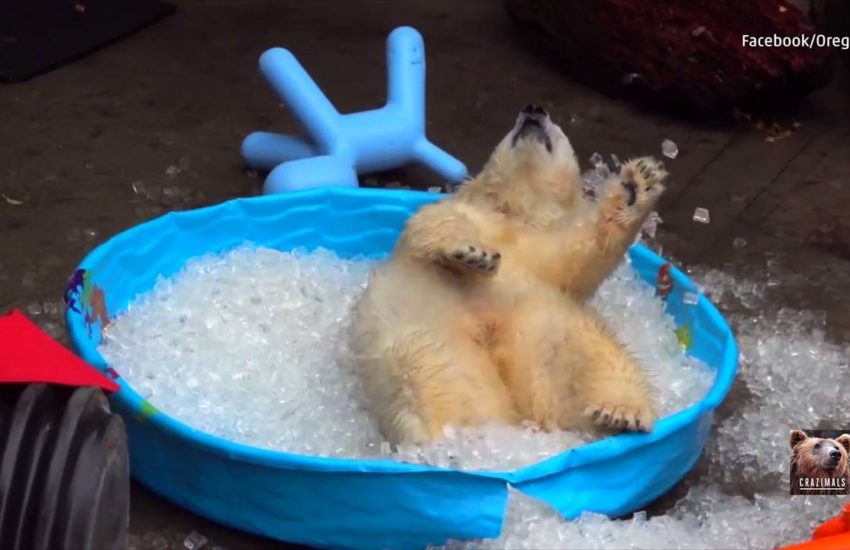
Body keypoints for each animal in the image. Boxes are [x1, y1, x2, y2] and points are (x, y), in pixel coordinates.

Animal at [348, 104, 667, 445]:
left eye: (558, 129)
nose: (534, 109)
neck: (515, 212)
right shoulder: (455, 213)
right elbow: (433, 226)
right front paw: (472, 252)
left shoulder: (542, 254)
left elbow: (581, 255)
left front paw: (637, 186)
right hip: (433, 341)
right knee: (431, 375)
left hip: (539, 335)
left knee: (589, 356)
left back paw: (620, 411)